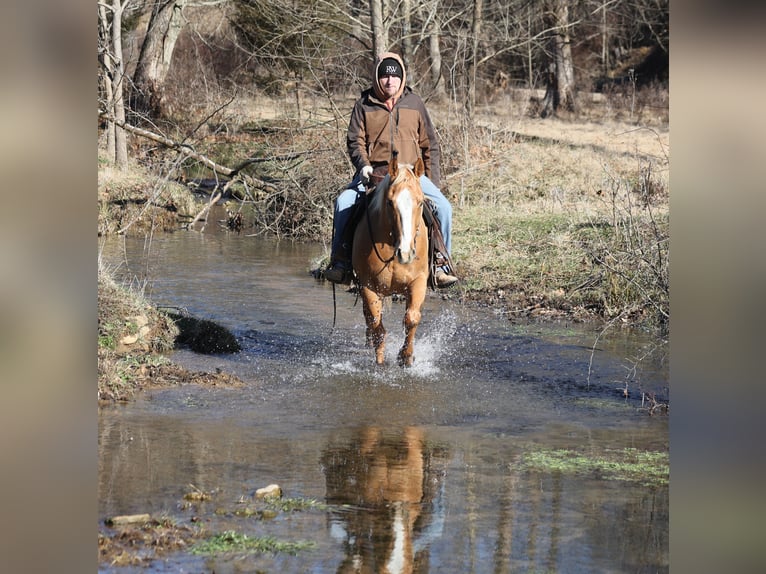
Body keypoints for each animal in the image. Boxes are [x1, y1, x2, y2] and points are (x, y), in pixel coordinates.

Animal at [352, 156, 429, 366]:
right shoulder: (369, 285)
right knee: (369, 318)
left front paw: (406, 357)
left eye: (420, 202)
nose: (405, 253)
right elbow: (377, 325)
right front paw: (380, 361)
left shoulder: (419, 281)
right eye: (390, 202)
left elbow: (412, 318)